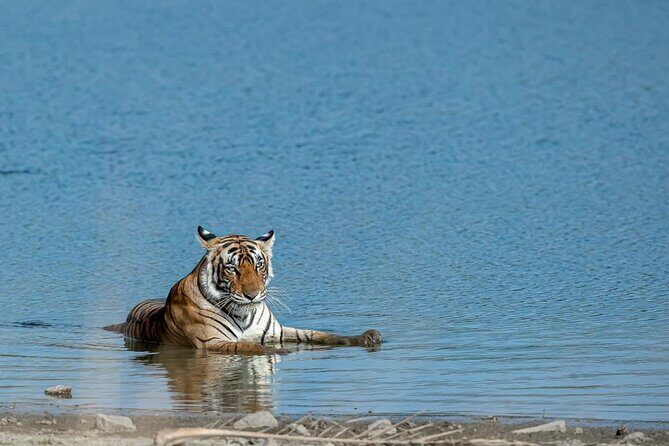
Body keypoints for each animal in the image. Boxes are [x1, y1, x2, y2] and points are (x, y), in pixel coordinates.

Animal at [105, 226, 382, 354]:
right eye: (232, 269)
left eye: (259, 265)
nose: (252, 295)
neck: (244, 312)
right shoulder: (212, 342)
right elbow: (251, 347)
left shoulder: (278, 332)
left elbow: (320, 335)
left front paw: (366, 337)